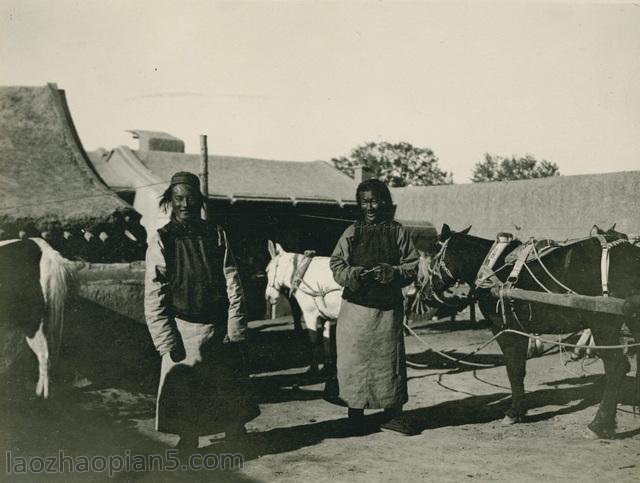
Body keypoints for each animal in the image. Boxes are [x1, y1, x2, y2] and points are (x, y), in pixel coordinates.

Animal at [266, 242, 344, 374]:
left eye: (267, 271)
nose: (268, 297)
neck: (300, 272)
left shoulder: (310, 314)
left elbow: (313, 341)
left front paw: (313, 368)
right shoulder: (325, 316)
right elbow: (326, 340)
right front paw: (327, 366)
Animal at [420, 225, 640, 440]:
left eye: (433, 255)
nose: (425, 296)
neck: (491, 268)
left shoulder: (506, 330)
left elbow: (514, 370)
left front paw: (514, 412)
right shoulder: (521, 330)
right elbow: (520, 369)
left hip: (603, 323)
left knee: (616, 367)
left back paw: (599, 425)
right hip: (631, 320)